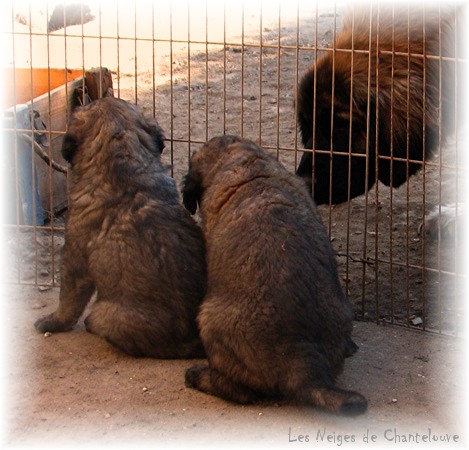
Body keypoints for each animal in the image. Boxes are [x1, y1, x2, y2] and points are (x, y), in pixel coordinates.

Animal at [33, 97, 206, 358]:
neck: (122, 166)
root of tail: (191, 342)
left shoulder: (74, 257)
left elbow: (68, 300)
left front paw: (50, 322)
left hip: (102, 312)